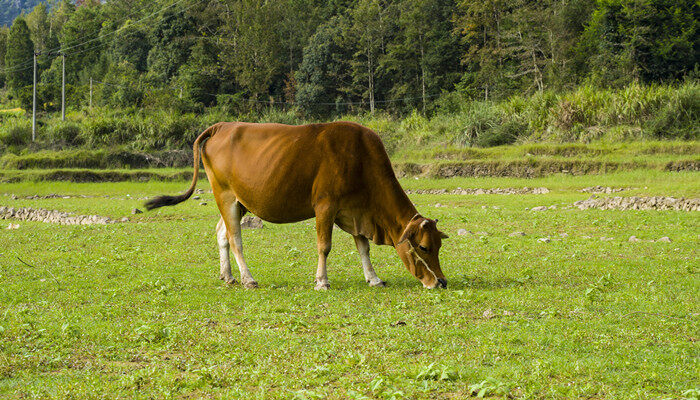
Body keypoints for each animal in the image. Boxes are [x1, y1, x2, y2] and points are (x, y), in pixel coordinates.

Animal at [146, 120, 448, 290]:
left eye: (439, 246)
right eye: (423, 247)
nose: (441, 282)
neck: (360, 159)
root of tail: (221, 126)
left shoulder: (355, 211)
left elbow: (363, 248)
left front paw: (374, 279)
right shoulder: (325, 206)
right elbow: (324, 246)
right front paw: (322, 281)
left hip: (239, 201)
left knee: (221, 233)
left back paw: (228, 276)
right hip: (225, 196)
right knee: (235, 239)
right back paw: (247, 279)